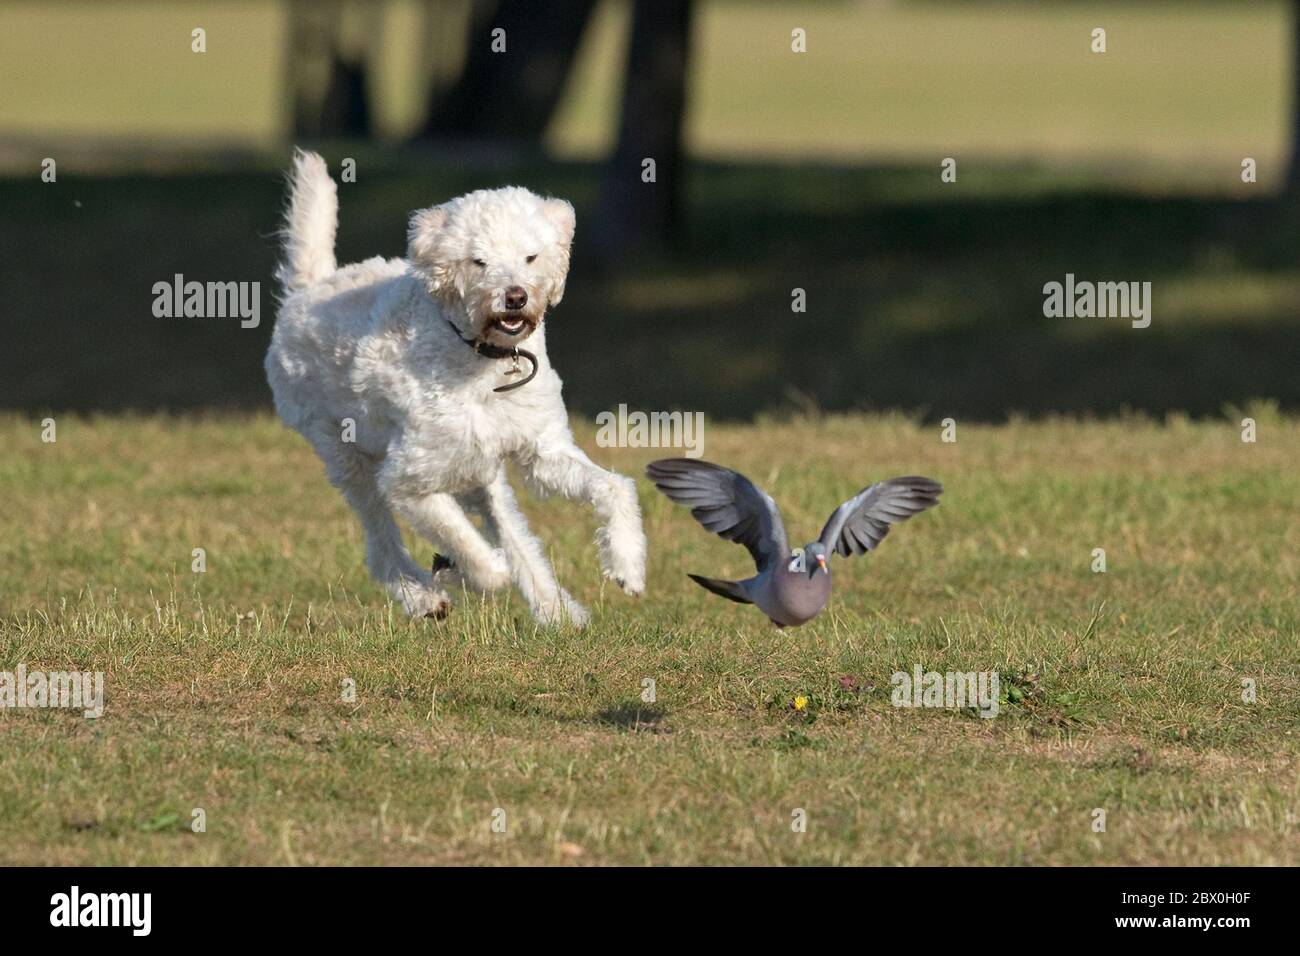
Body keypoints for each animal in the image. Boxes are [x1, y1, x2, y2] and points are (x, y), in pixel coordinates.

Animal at [265, 151, 650, 629]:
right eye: (478, 262)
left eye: (530, 256)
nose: (515, 297)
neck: (483, 357)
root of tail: (308, 289)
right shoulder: (407, 480)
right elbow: (473, 552)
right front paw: (467, 570)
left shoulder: (542, 452)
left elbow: (615, 487)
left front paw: (627, 564)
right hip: (346, 455)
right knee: (382, 546)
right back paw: (425, 597)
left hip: (480, 473)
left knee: (514, 533)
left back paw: (556, 611)